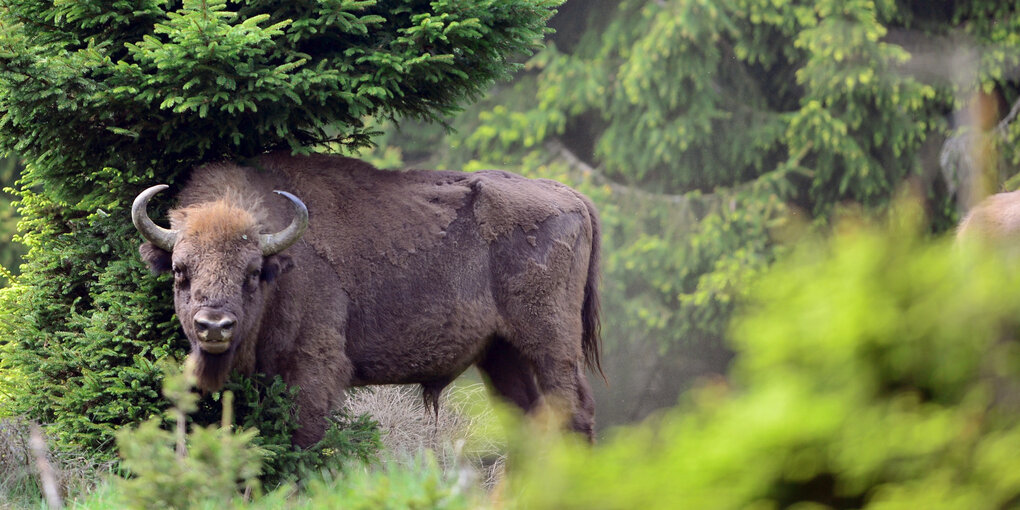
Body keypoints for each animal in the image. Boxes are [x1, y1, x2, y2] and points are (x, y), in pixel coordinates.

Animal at [131, 151, 599, 446]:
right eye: (180, 270)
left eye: (252, 273)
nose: (214, 327)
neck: (283, 261)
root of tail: (570, 196)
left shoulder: (314, 370)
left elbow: (305, 440)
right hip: (501, 352)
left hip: (550, 343)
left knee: (573, 415)